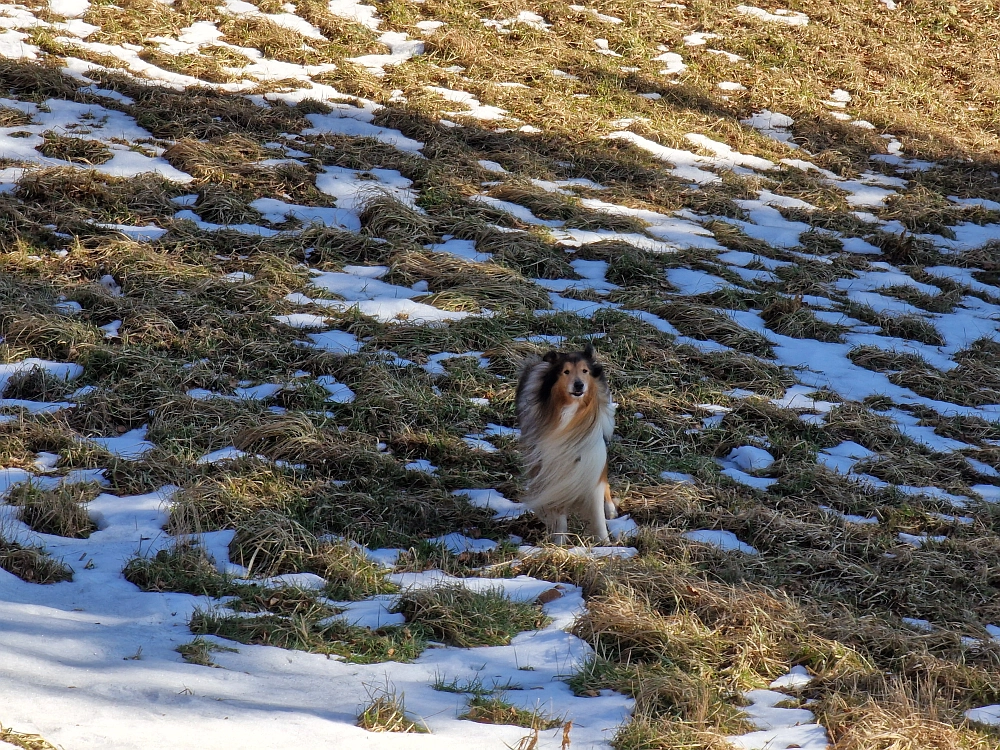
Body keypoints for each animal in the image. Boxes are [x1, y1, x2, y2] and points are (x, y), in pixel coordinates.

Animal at [516, 344, 616, 544]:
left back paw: (610, 509)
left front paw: (605, 544)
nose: (579, 385)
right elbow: (559, 513)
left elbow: (598, 514)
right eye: (566, 371)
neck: (571, 413)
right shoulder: (553, 470)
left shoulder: (592, 459)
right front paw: (559, 543)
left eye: (585, 371)